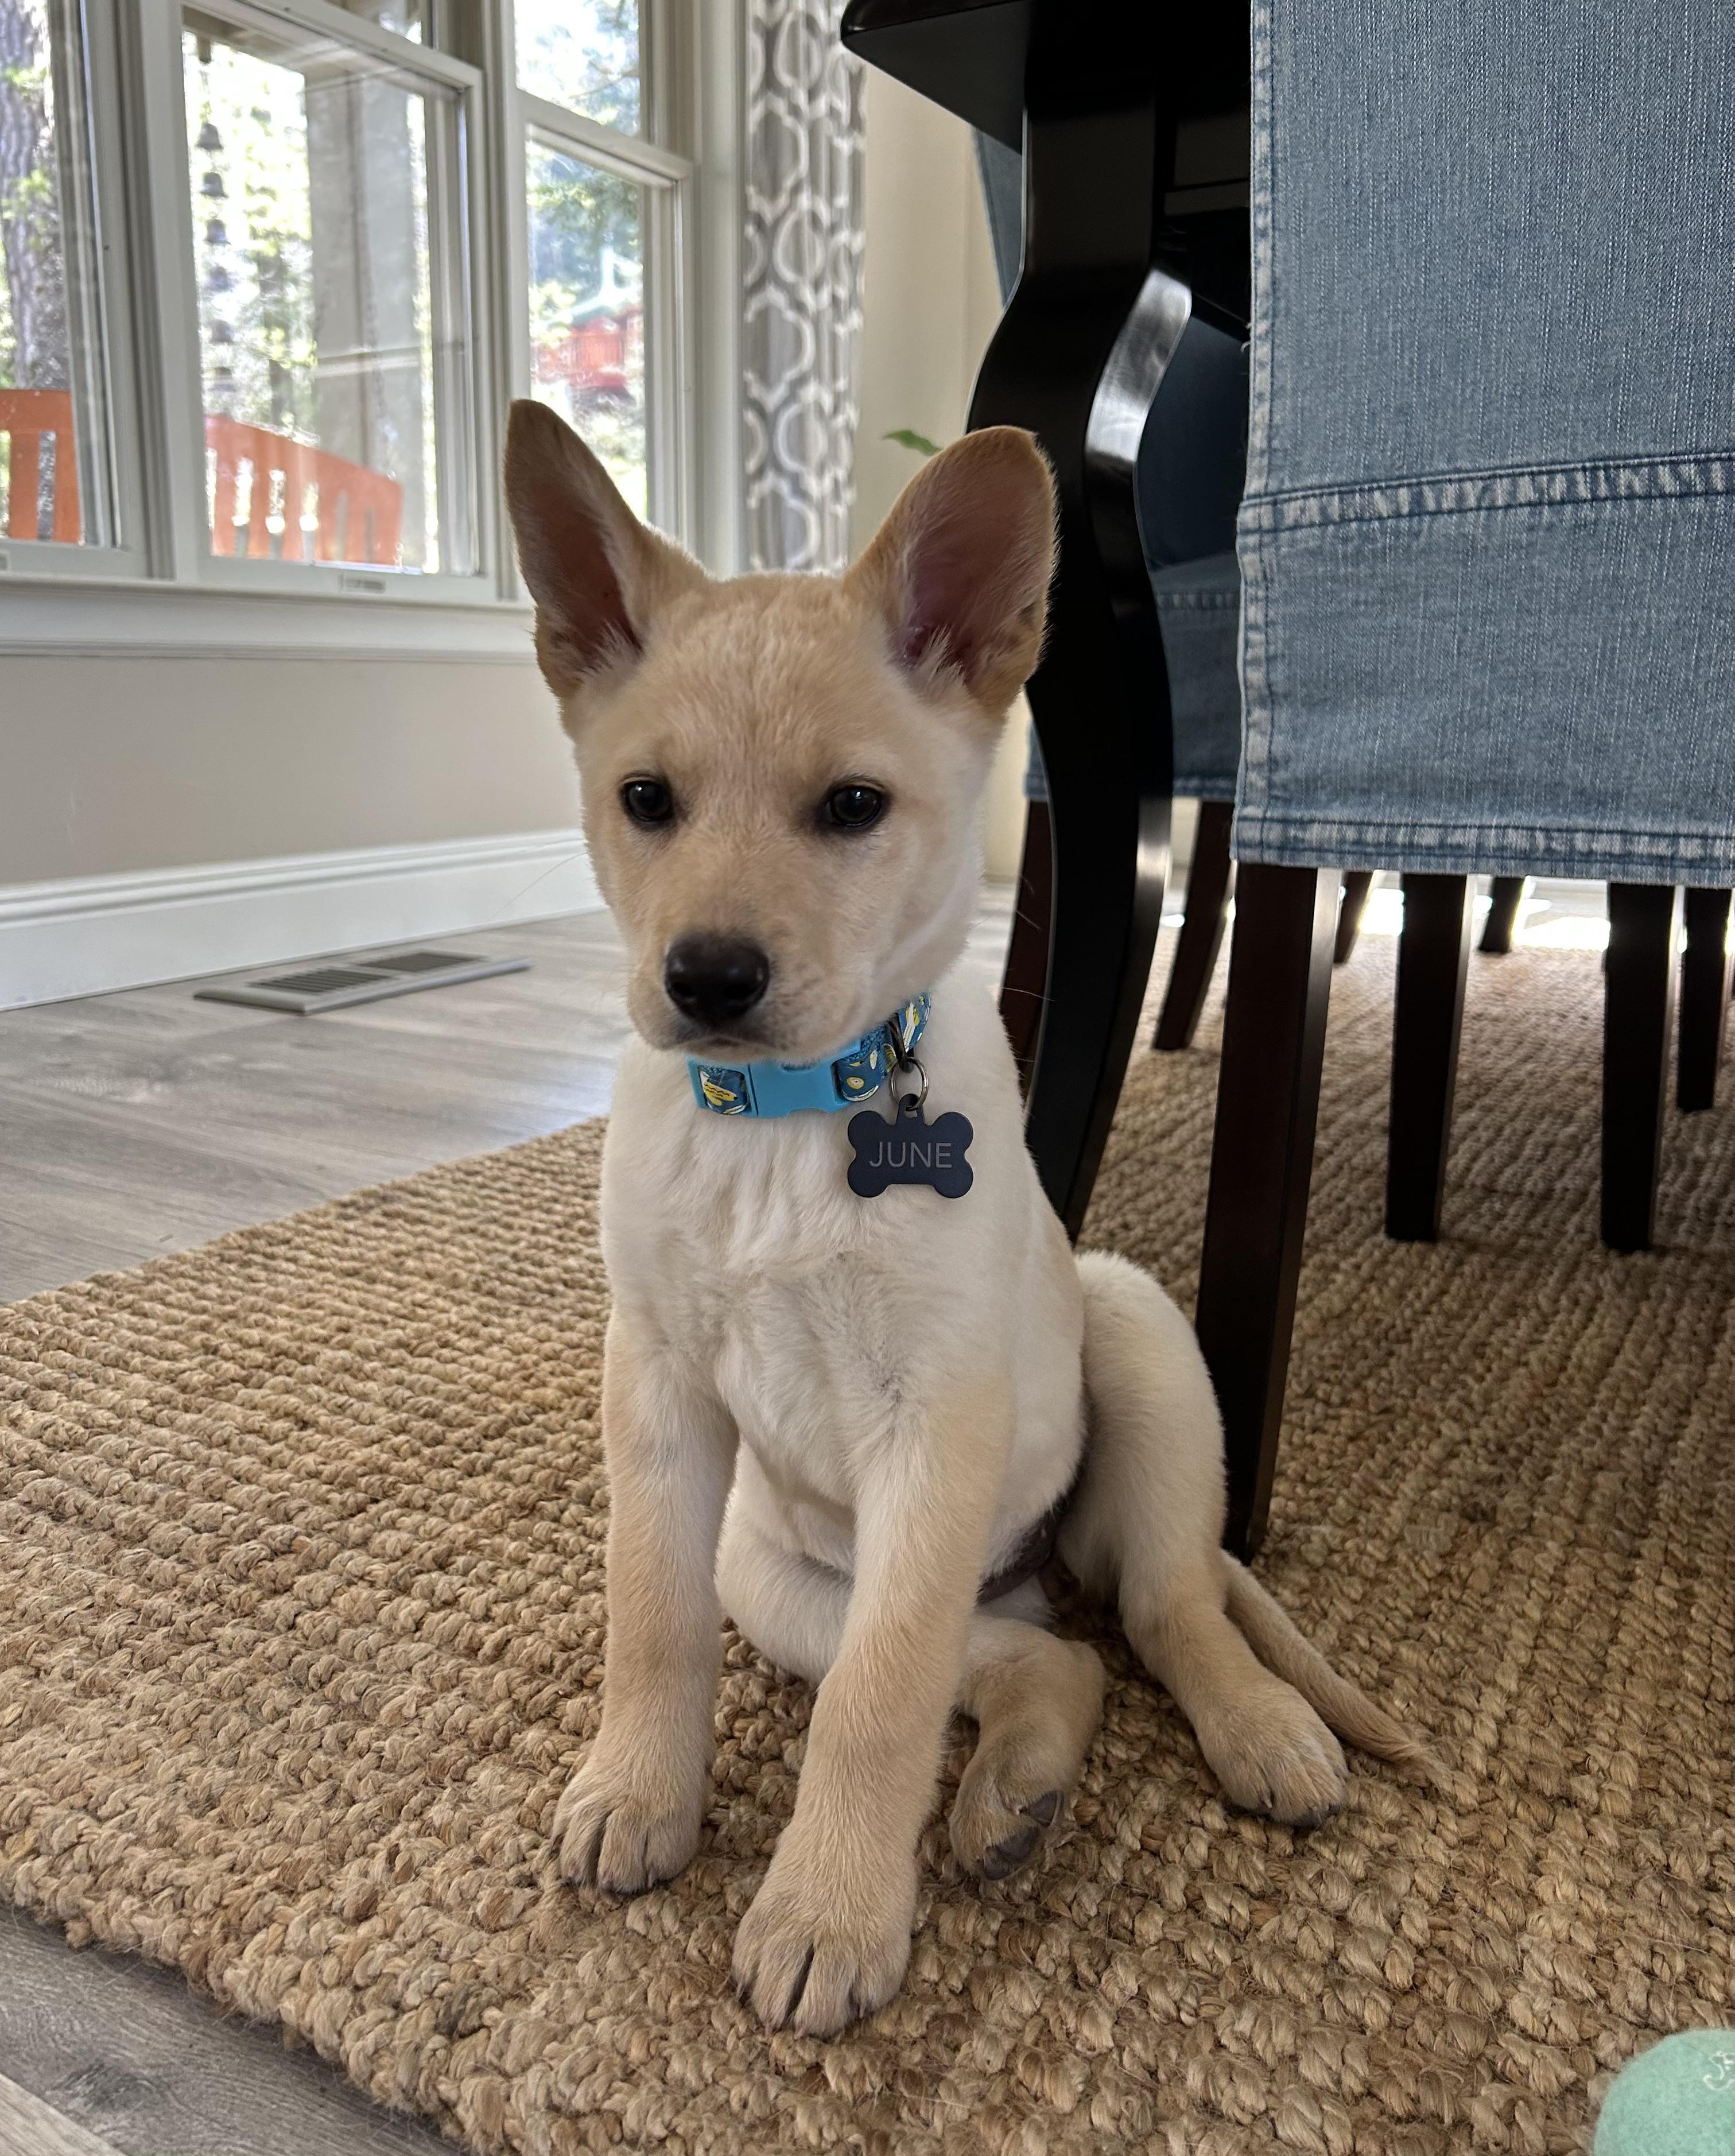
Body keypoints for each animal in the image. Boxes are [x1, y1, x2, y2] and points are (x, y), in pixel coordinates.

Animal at [504, 401, 1431, 2035]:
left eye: (852, 808)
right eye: (645, 800)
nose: (707, 978)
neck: (788, 1121)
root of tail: (1042, 1568)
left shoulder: (933, 1427)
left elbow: (872, 1712)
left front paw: (825, 1911)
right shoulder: (658, 1396)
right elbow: (653, 1621)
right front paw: (639, 1792)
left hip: (1130, 1338)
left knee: (1161, 1610)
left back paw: (1255, 1730)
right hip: (782, 1574)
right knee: (1033, 1662)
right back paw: (1012, 1794)